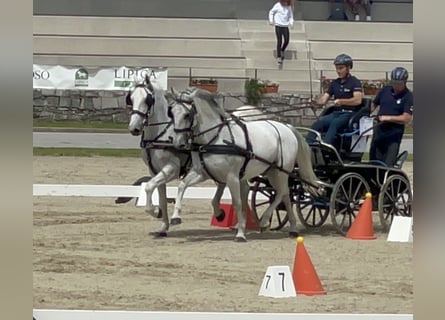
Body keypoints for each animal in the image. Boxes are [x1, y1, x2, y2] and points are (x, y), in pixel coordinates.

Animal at [126, 74, 227, 236]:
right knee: (223, 185)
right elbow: (161, 197)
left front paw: (155, 211)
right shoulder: (154, 171)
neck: (160, 135)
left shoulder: (171, 169)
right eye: (131, 98)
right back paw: (220, 213)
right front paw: (163, 226)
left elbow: (149, 186)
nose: (134, 128)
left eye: (148, 100)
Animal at [166, 86, 320, 241]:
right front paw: (176, 217)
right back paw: (293, 228)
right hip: (272, 171)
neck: (215, 138)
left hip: (281, 171)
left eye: (187, 115)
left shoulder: (232, 176)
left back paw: (264, 221)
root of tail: (287, 127)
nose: (178, 143)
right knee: (286, 195)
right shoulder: (201, 173)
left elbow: (237, 202)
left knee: (281, 192)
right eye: (171, 113)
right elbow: (182, 186)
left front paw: (240, 233)